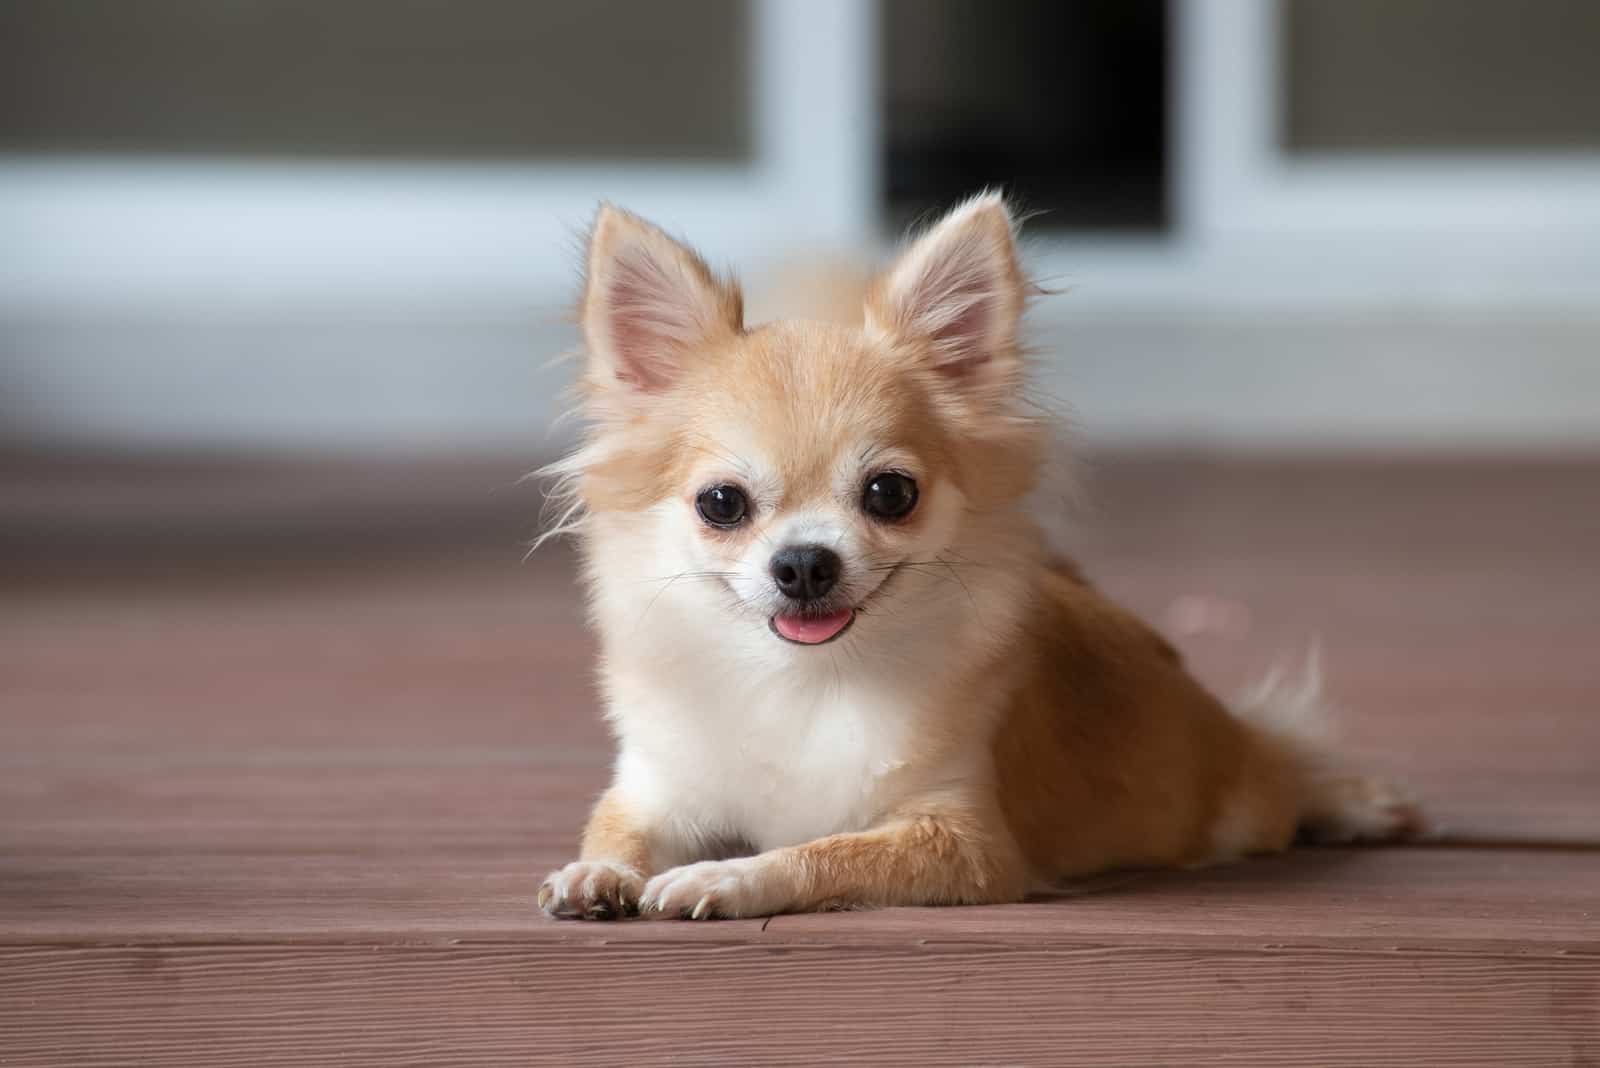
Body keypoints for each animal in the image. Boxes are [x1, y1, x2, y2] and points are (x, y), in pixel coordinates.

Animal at [534, 191, 1414, 920]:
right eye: (722, 504)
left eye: (890, 493)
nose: (805, 563)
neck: (804, 680)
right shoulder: (656, 790)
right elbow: (614, 830)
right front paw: (598, 873)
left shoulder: (964, 841)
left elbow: (824, 851)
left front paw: (727, 875)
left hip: (1231, 791)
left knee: (1280, 769)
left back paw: (1353, 802)